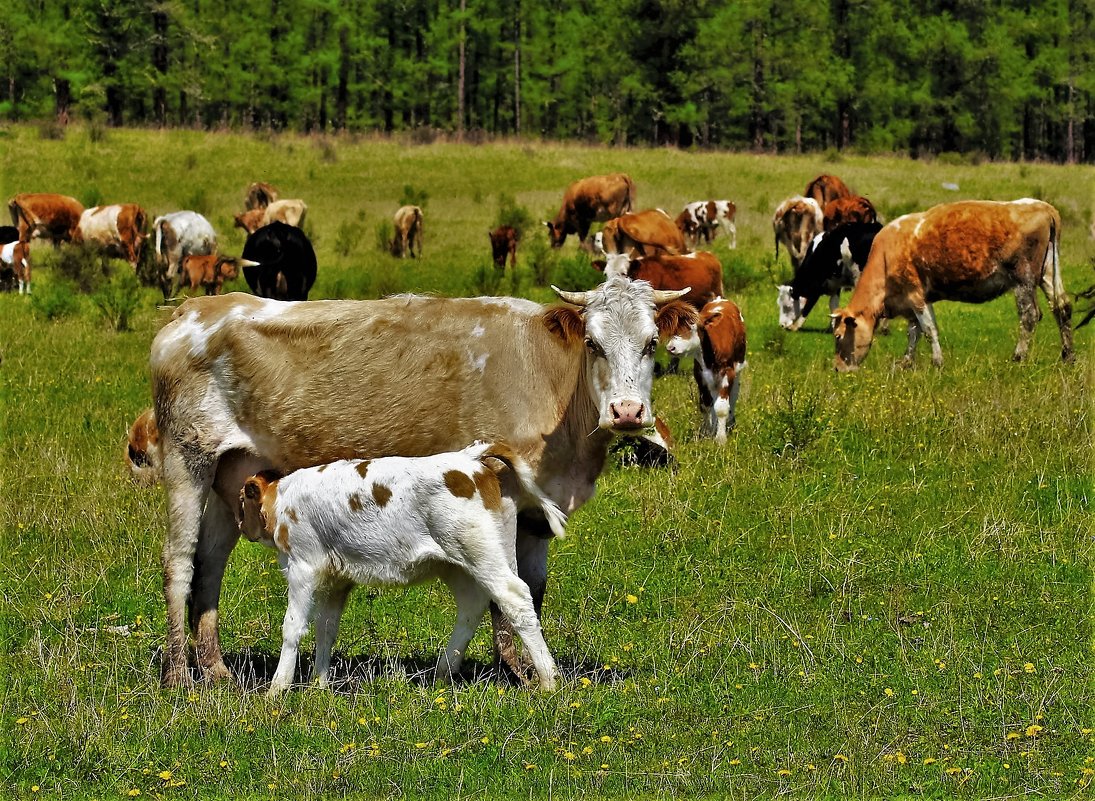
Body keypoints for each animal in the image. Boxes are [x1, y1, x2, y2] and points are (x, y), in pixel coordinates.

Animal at [237, 442, 565, 695]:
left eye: (242, 501)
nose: (241, 526)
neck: (283, 498)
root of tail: (468, 458)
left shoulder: (302, 567)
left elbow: (293, 627)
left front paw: (277, 688)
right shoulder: (337, 579)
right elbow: (325, 629)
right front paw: (320, 685)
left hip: (480, 553)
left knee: (515, 599)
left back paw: (548, 679)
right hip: (463, 563)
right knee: (473, 607)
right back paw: (442, 673)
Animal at [661, 295, 748, 442]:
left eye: (691, 328)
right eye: (673, 329)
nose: (671, 348)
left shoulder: (728, 372)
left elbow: (722, 407)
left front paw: (720, 438)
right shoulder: (700, 374)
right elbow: (706, 405)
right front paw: (708, 433)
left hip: (737, 369)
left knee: (733, 395)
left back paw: (730, 423)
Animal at [832, 199, 1073, 369]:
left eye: (838, 336)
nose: (837, 368)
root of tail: (1043, 206)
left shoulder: (914, 294)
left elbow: (928, 329)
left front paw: (937, 362)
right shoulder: (919, 298)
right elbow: (914, 331)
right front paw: (906, 362)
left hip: (1023, 278)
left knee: (1030, 315)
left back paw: (1018, 356)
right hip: (1047, 272)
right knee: (1062, 307)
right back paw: (1068, 355)